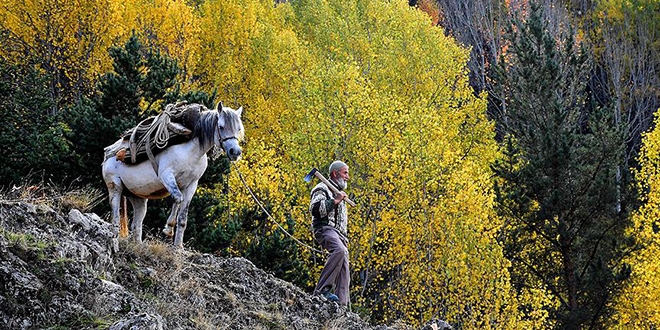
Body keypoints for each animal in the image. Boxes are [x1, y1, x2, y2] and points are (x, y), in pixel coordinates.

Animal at [98, 103, 242, 248]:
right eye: (221, 127)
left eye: (239, 128)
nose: (235, 152)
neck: (192, 151)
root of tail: (108, 154)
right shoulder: (167, 176)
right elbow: (177, 198)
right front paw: (168, 229)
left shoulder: (191, 185)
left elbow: (183, 218)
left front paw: (178, 247)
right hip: (115, 187)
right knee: (115, 218)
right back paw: (114, 241)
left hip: (138, 198)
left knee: (136, 225)